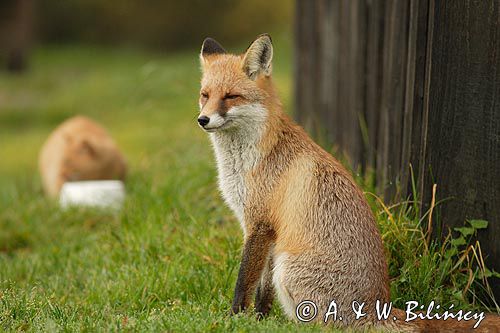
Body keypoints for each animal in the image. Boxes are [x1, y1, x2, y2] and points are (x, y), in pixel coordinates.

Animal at [196, 33, 500, 330]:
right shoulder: (266, 229)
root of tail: (380, 307)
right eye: (205, 95)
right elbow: (262, 289)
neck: (252, 157)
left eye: (231, 96)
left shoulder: (259, 223)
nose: (202, 120)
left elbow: (244, 282)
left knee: (319, 324)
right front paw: (260, 319)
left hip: (288, 268)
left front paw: (234, 318)